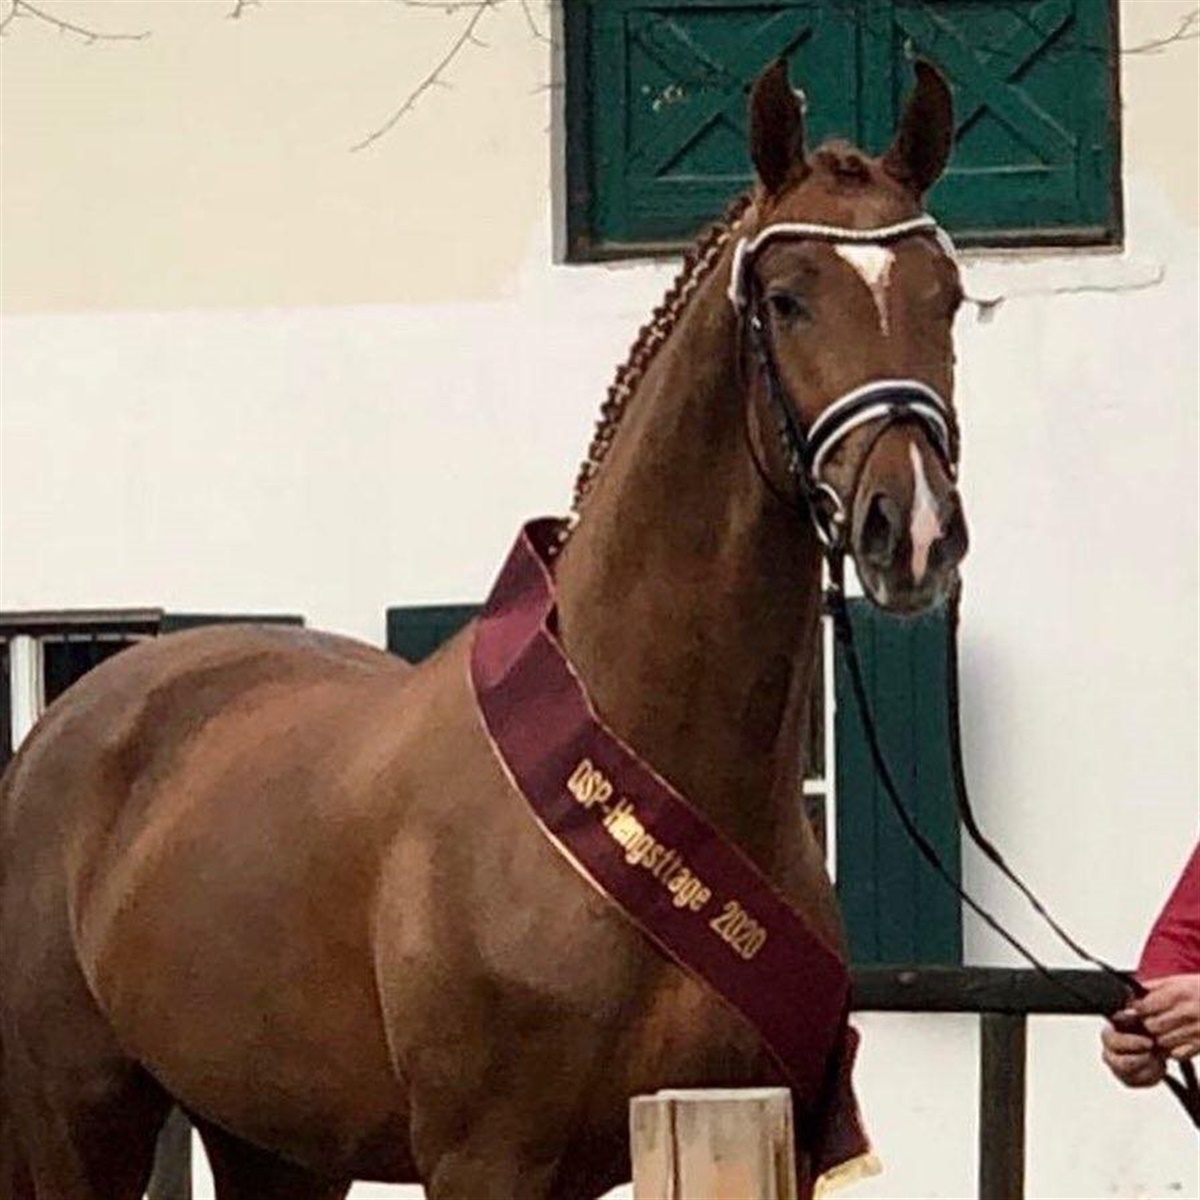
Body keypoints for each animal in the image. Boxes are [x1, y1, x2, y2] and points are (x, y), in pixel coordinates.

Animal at [0, 57, 968, 1200]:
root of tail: (62, 728)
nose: (913, 529)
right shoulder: (486, 1158)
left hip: (271, 1141)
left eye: (949, 299)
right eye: (787, 300)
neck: (649, 770)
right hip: (79, 1117)